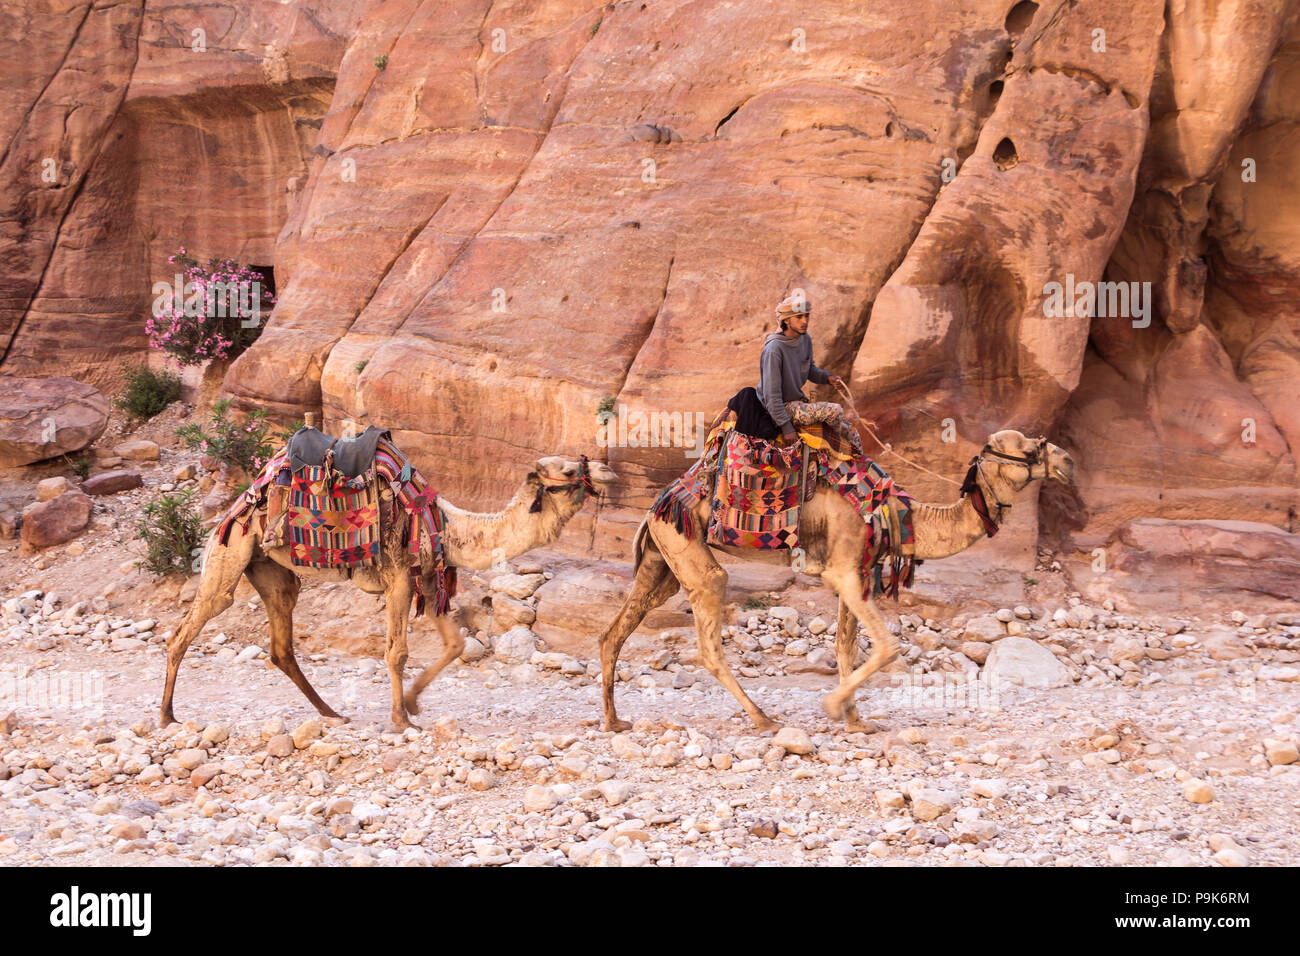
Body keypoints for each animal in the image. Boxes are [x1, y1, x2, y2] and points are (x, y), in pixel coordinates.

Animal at [159, 455, 616, 723]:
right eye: (569, 470)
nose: (607, 469)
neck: (450, 527)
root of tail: (236, 506)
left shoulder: (428, 581)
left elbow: (455, 645)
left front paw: (412, 703)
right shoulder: (399, 578)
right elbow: (397, 653)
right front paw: (401, 720)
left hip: (270, 568)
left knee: (282, 643)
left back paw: (332, 713)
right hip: (230, 551)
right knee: (186, 629)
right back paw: (167, 716)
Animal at [598, 429, 1076, 738]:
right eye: (1031, 447)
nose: (1068, 461)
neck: (896, 514)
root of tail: (657, 504)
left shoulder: (858, 573)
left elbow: (845, 645)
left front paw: (855, 719)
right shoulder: (843, 568)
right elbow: (889, 646)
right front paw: (833, 707)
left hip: (661, 558)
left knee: (614, 632)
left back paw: (614, 721)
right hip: (686, 547)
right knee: (710, 632)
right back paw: (764, 719)